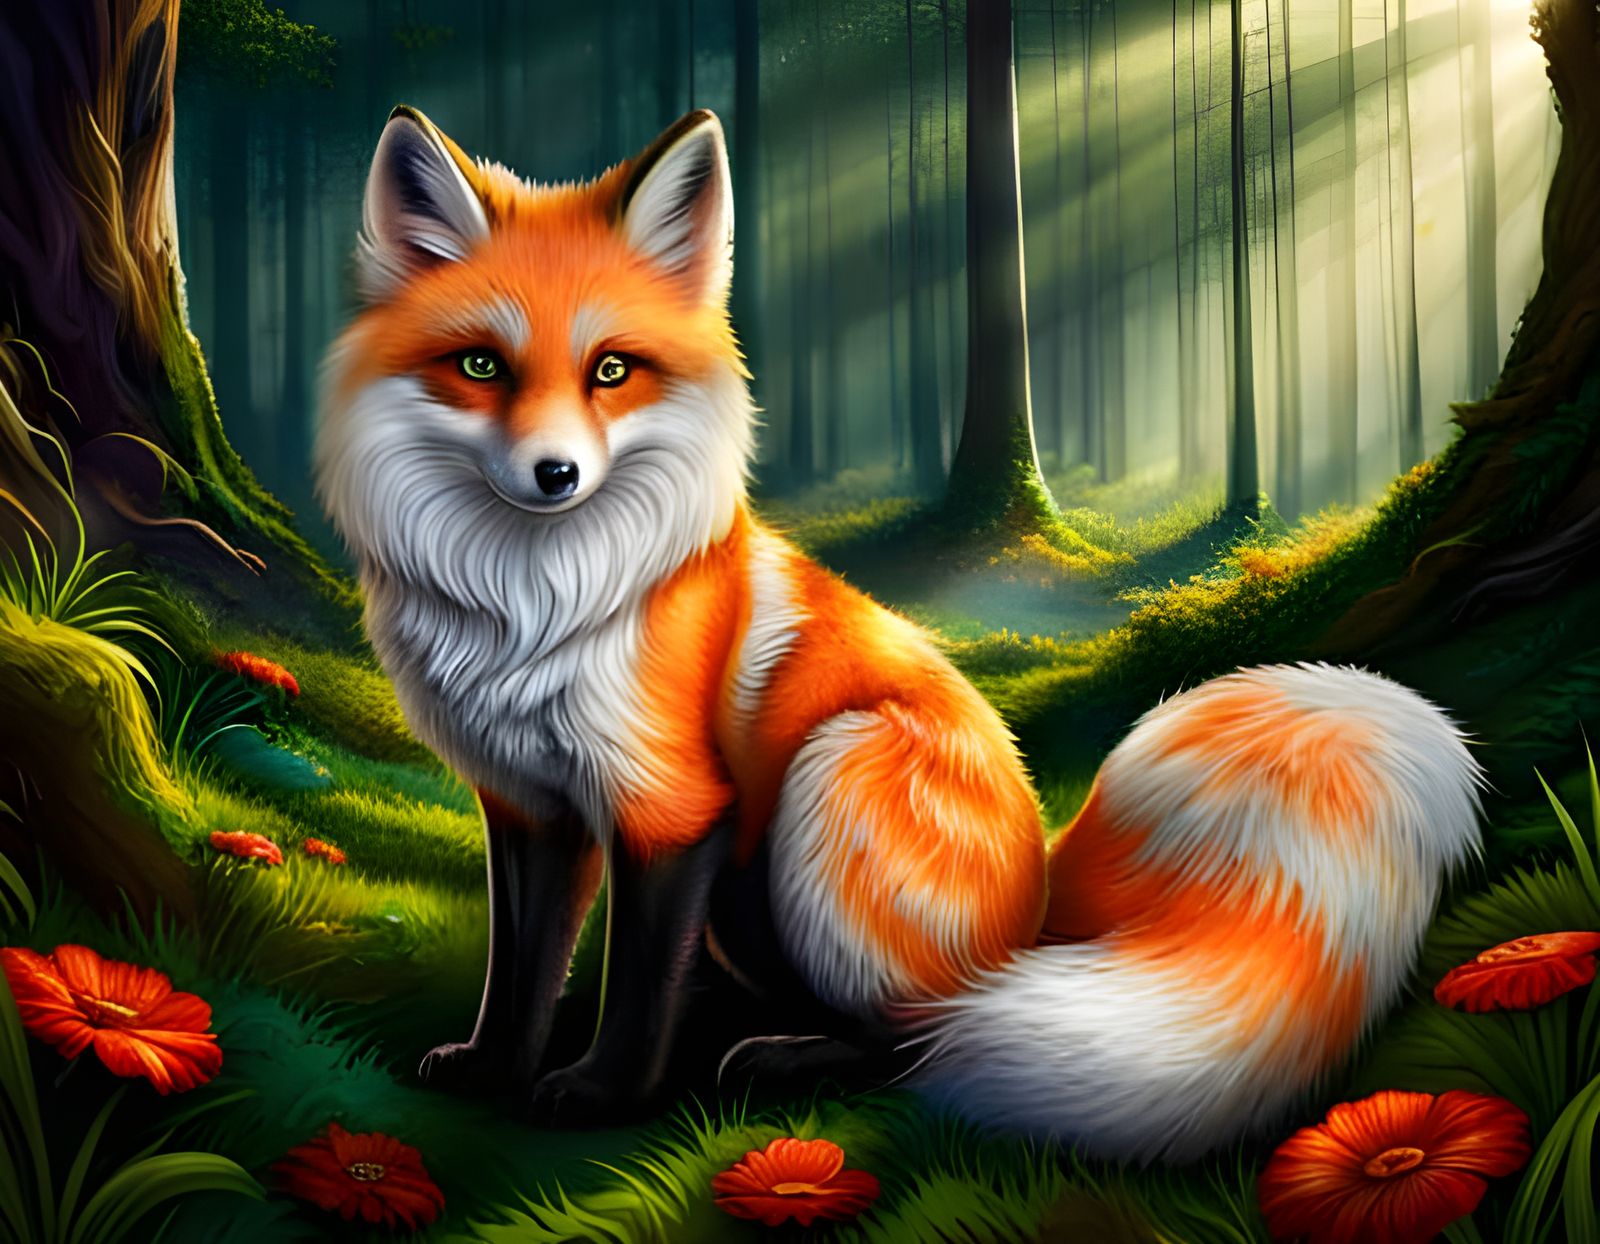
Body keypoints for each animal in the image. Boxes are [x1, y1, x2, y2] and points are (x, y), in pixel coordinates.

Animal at [314, 104, 1483, 1162]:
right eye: (480, 367)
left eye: (610, 370)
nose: (554, 474)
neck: (534, 611)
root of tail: (1037, 894)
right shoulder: (528, 803)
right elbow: (520, 966)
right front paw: (495, 1070)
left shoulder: (671, 806)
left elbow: (638, 981)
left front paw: (604, 1093)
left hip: (826, 776)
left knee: (928, 1034)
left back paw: (786, 1057)